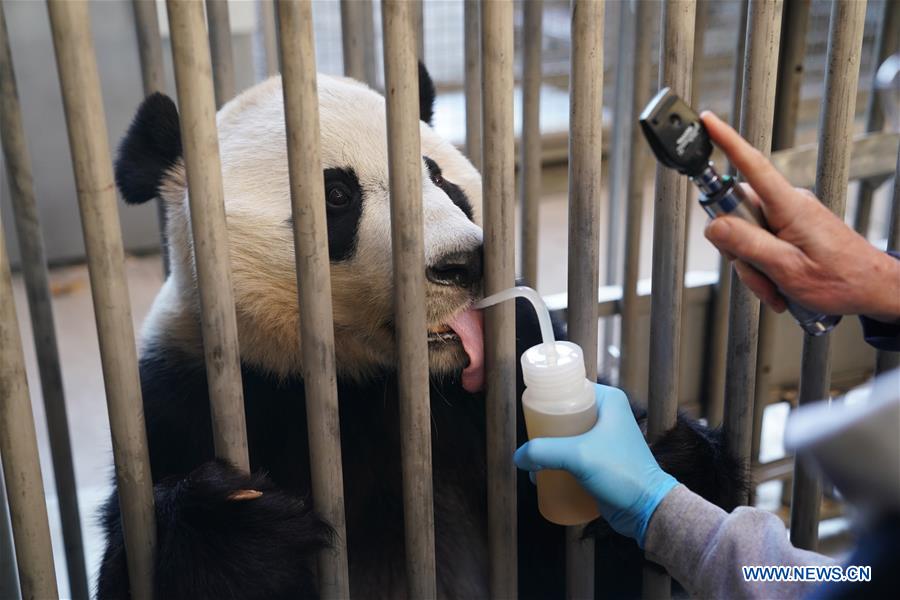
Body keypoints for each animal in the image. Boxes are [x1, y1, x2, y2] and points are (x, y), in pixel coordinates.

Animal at [100, 67, 744, 600]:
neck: (365, 380)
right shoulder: (188, 395)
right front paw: (239, 531)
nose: (465, 264)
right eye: (337, 195)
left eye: (439, 179)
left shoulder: (500, 380)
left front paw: (667, 464)